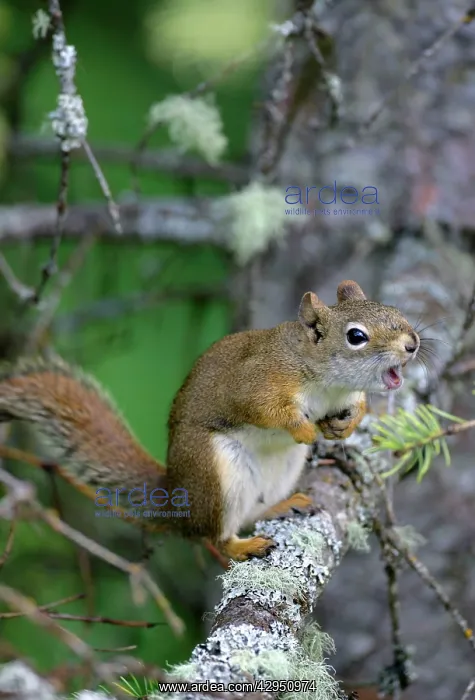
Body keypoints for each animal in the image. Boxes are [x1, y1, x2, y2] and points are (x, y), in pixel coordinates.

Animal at [0, 280, 419, 561]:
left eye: (397, 313)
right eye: (356, 336)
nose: (413, 344)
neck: (328, 384)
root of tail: (174, 493)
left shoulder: (345, 396)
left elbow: (358, 407)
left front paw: (344, 426)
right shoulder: (257, 382)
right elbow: (265, 410)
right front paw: (302, 428)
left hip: (281, 471)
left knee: (251, 511)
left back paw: (281, 506)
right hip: (217, 473)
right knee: (214, 536)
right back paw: (244, 545)